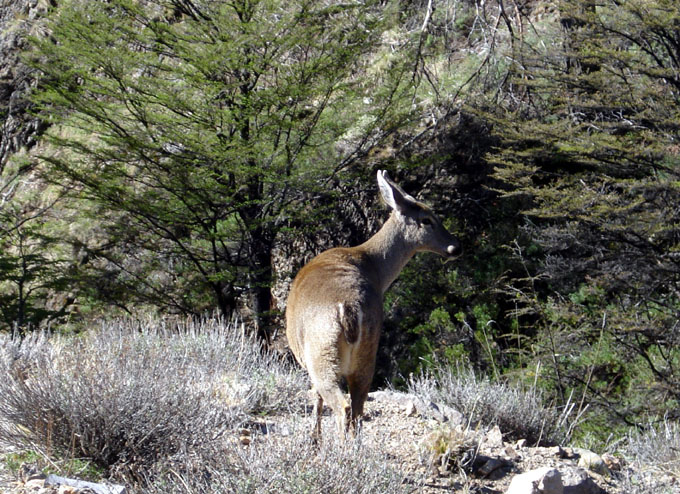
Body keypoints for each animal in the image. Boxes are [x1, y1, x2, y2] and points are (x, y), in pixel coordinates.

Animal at [284, 171, 460, 440]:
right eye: (427, 220)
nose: (455, 247)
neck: (373, 267)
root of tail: (348, 309)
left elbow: (315, 398)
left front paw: (314, 440)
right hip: (368, 350)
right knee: (358, 405)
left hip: (321, 353)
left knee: (341, 404)